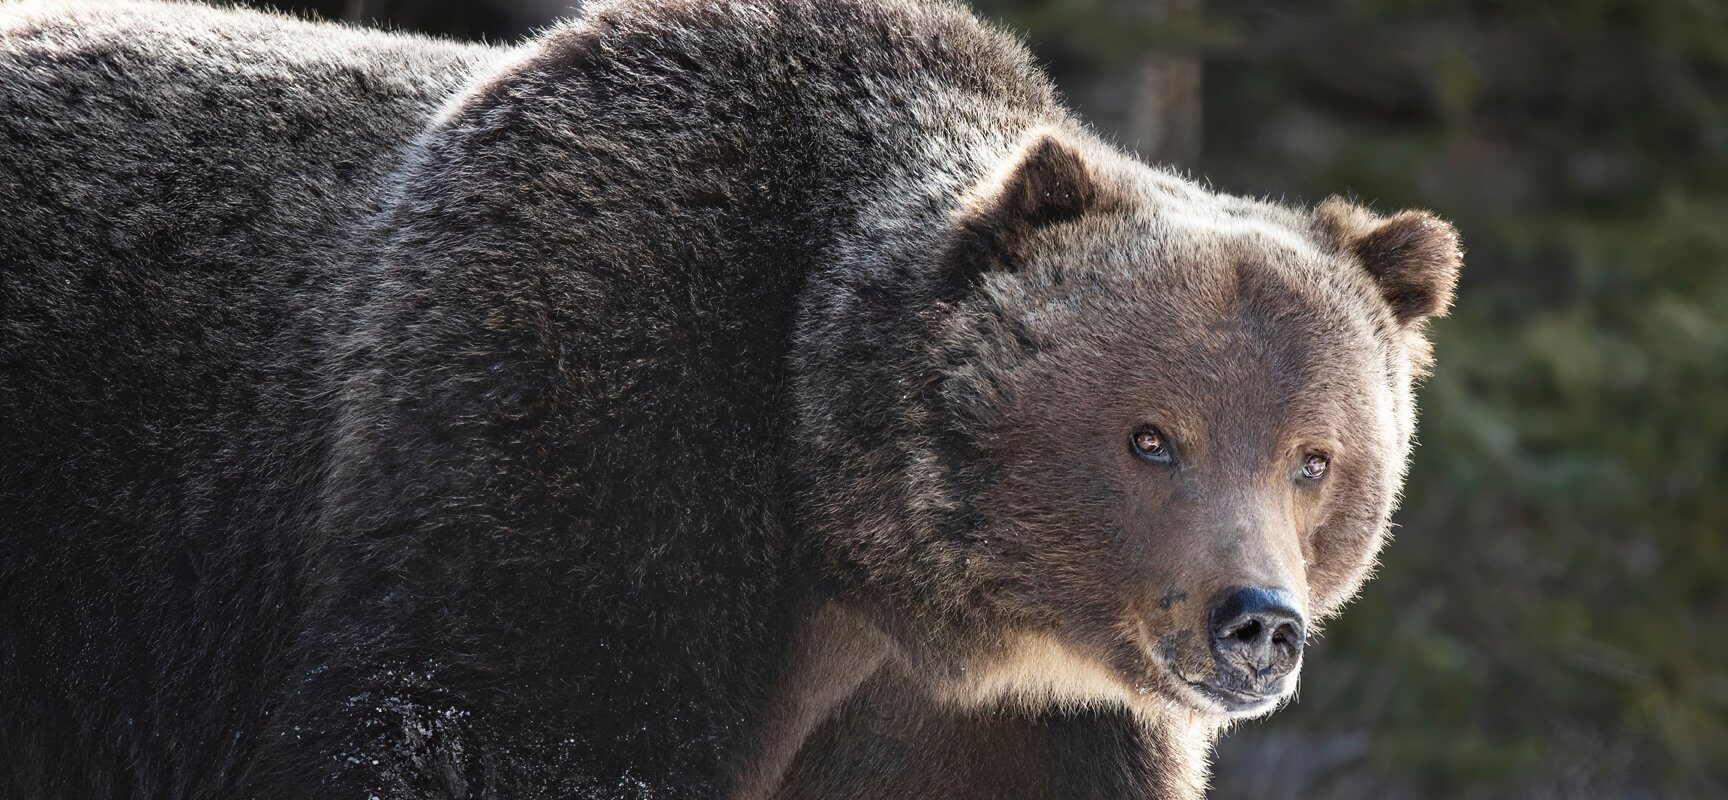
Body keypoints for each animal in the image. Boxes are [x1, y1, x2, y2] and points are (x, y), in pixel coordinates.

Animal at [0, 1, 1458, 800]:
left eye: (1316, 458)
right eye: (1152, 437)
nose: (1253, 620)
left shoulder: (985, 725)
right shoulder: (580, 404)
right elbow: (488, 727)